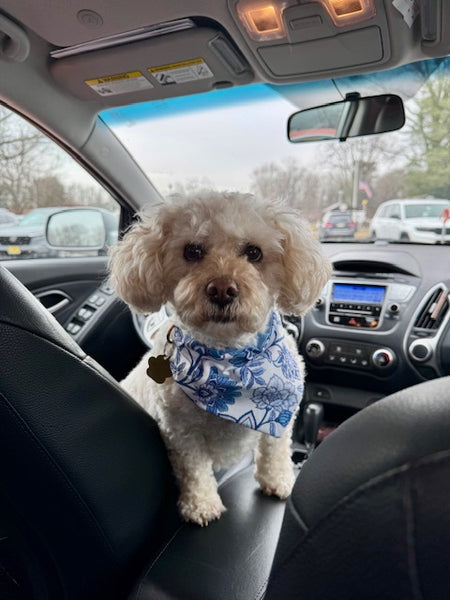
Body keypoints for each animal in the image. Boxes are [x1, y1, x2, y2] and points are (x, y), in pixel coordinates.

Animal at [109, 192, 330, 524]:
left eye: (254, 252)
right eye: (192, 251)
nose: (222, 289)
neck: (230, 361)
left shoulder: (282, 412)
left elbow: (275, 447)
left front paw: (278, 480)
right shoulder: (180, 431)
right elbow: (194, 469)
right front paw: (201, 504)